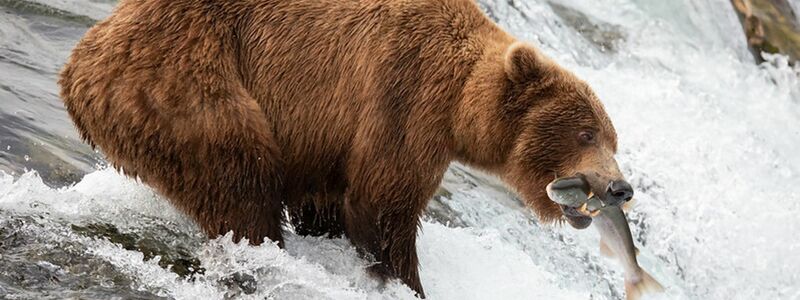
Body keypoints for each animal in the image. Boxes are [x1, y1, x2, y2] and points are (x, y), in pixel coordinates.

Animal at [57, 0, 632, 296]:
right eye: (586, 133)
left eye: (613, 137)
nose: (620, 188)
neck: (459, 104)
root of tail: (81, 58)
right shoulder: (403, 97)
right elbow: (382, 206)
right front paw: (406, 281)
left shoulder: (327, 138)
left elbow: (330, 202)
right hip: (184, 82)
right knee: (239, 179)